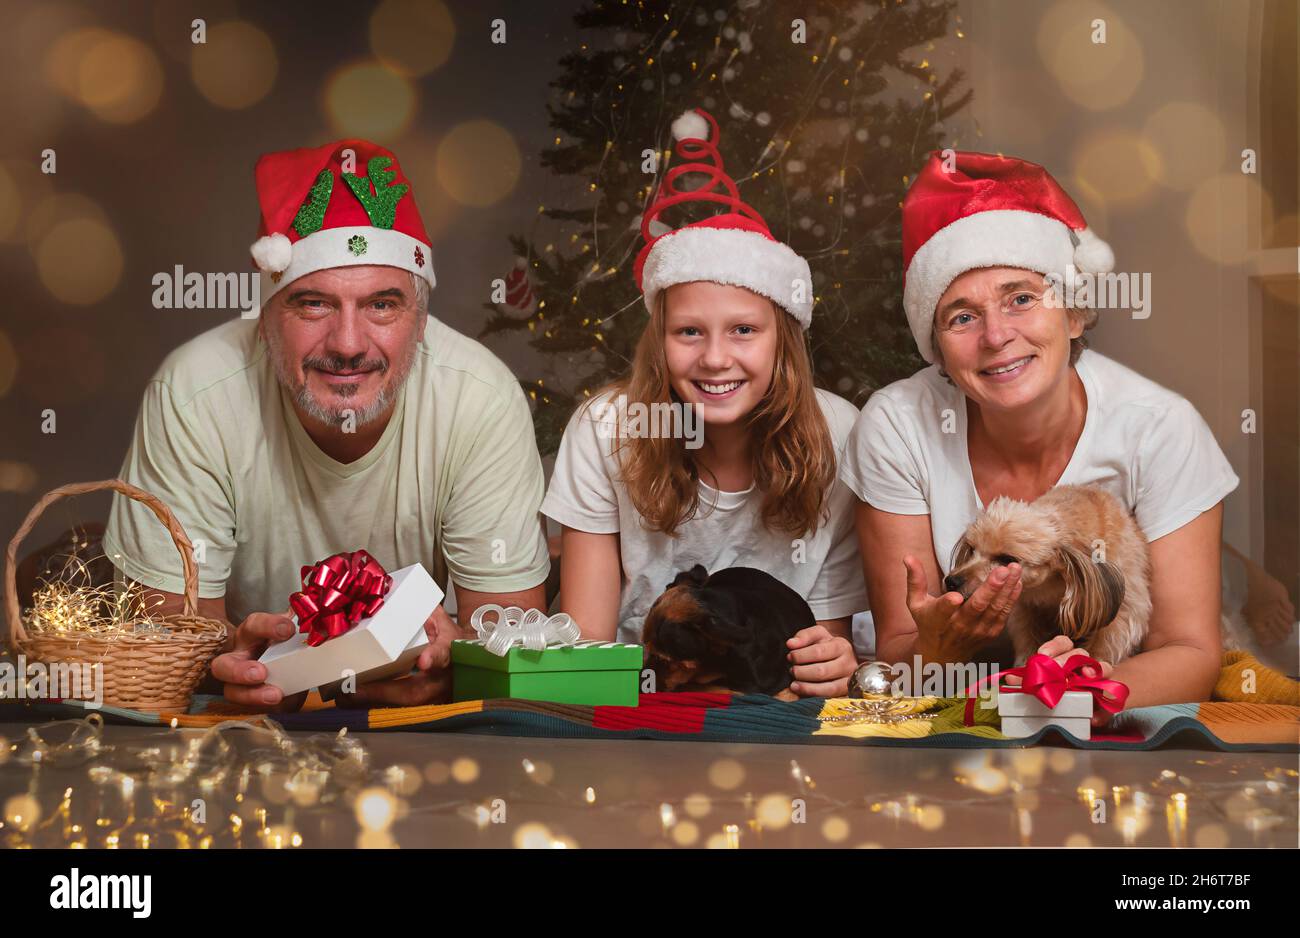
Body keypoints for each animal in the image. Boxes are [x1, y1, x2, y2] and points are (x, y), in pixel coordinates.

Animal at [946, 483, 1149, 665]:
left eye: (1006, 559)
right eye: (972, 549)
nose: (951, 581)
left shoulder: (1124, 611)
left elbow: (1104, 644)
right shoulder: (1025, 610)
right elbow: (1026, 640)